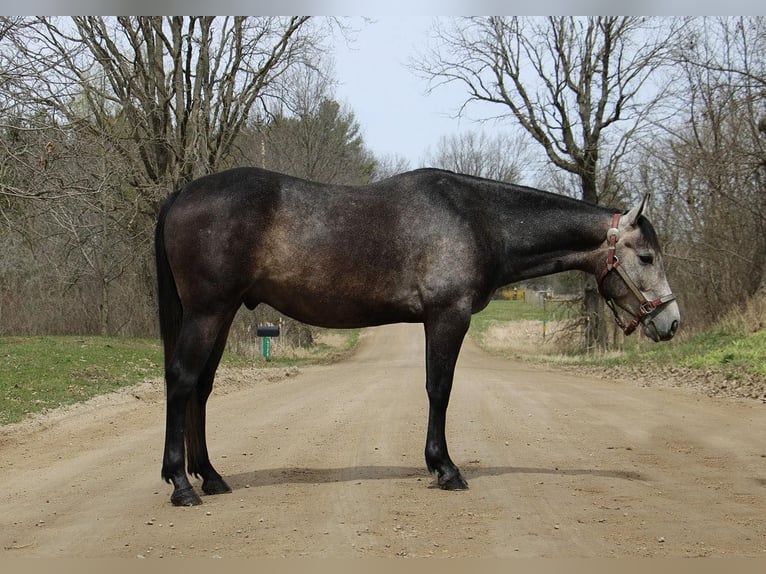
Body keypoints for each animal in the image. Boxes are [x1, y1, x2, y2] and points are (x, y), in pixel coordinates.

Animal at [155, 167, 680, 506]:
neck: (478, 219)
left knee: (201, 388)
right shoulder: (448, 317)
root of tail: (182, 194)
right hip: (207, 312)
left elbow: (435, 388)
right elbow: (439, 389)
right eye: (647, 257)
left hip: (221, 314)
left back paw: (211, 477)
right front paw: (445, 468)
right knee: (181, 381)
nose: (670, 322)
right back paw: (181, 484)